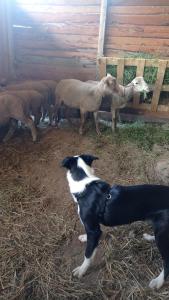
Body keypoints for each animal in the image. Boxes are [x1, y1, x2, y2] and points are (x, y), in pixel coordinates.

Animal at [62, 154, 169, 290]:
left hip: (162, 233)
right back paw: (150, 237)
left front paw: (81, 270)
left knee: (167, 262)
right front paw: (84, 237)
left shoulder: (94, 230)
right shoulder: (94, 229)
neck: (85, 185)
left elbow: (88, 254)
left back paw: (158, 281)